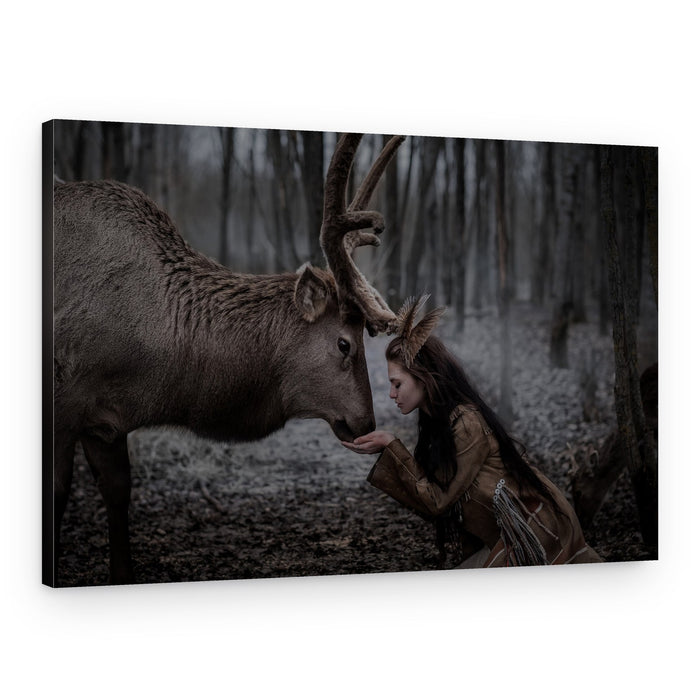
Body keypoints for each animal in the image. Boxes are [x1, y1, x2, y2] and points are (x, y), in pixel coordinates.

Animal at [48, 132, 405, 586]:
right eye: (344, 344)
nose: (367, 423)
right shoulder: (64, 404)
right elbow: (58, 492)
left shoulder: (104, 421)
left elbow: (118, 490)